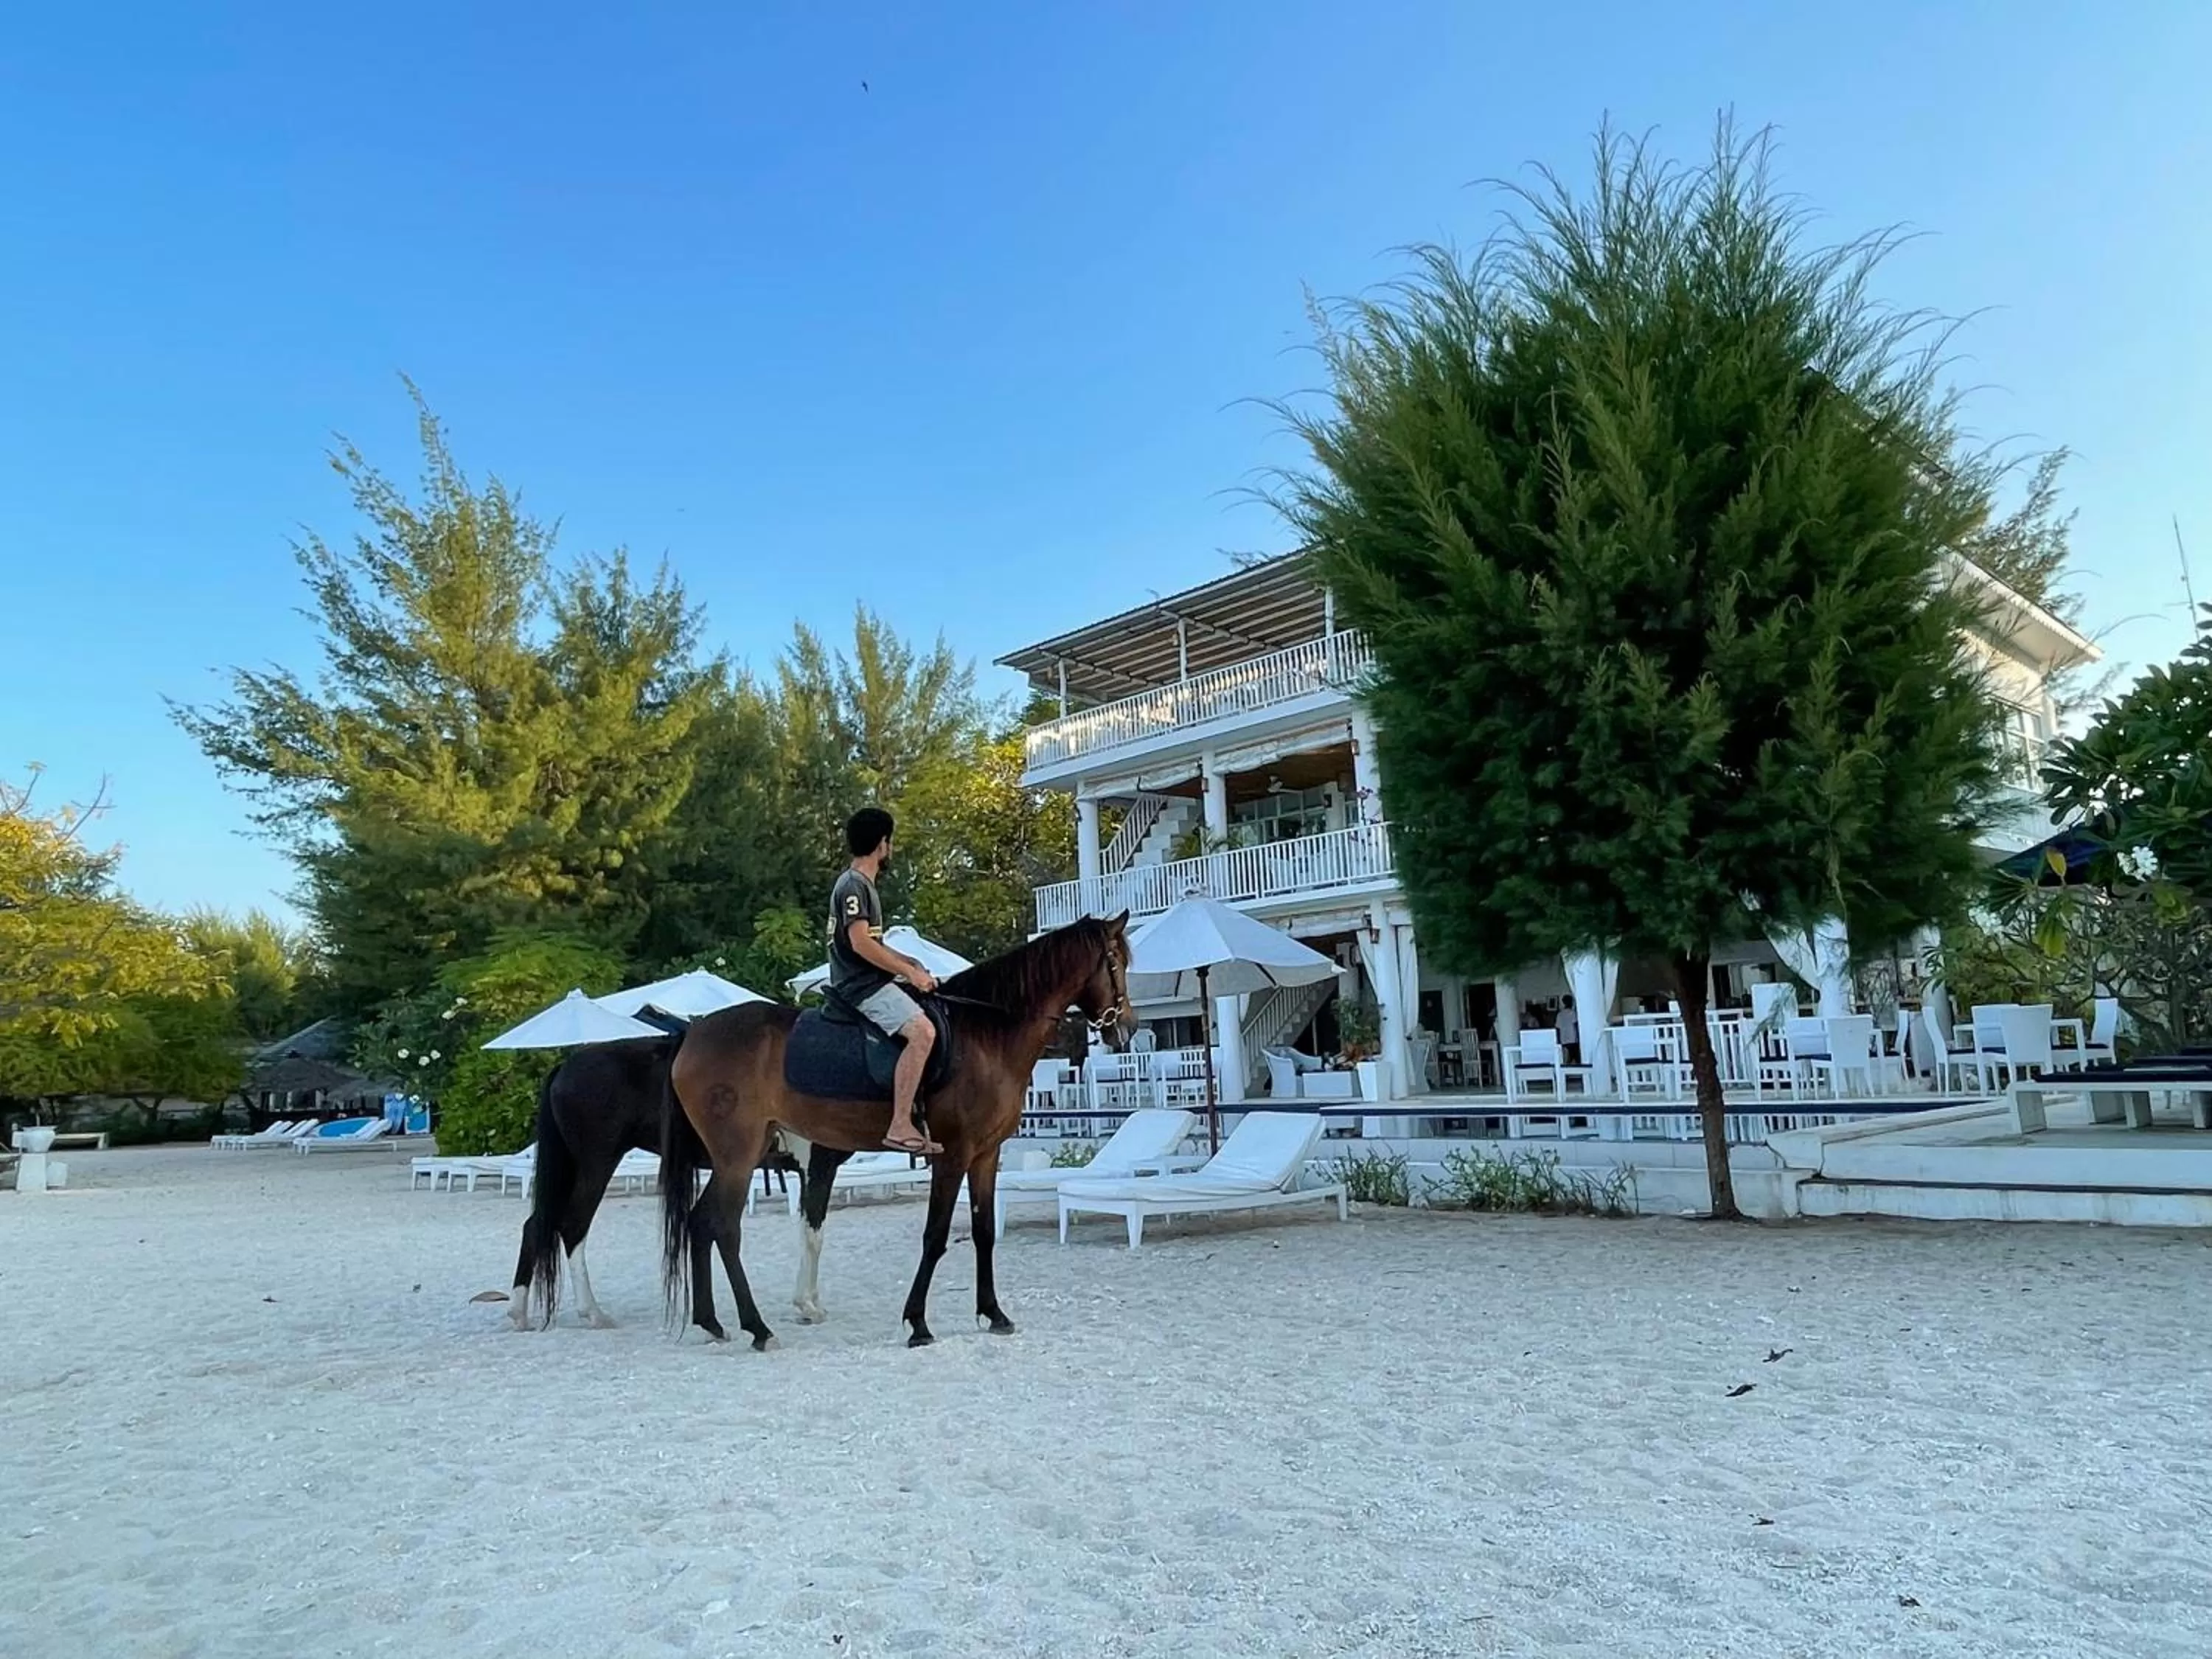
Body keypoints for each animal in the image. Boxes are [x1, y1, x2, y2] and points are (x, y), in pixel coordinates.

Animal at [510, 1037, 795, 1334]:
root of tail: (564, 1069)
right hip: (596, 1166)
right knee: (573, 1225)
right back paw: (593, 1313)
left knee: (537, 1225)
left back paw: (519, 1313)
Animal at [658, 912, 1133, 1351]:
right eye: (1116, 961)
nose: (1126, 1027)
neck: (986, 1036)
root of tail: (693, 1034)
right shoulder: (952, 1154)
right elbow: (936, 1236)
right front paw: (917, 1323)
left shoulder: (986, 1154)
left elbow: (982, 1233)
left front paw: (994, 1314)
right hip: (738, 1157)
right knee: (724, 1227)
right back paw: (757, 1328)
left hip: (736, 1157)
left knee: (700, 1222)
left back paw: (712, 1322)